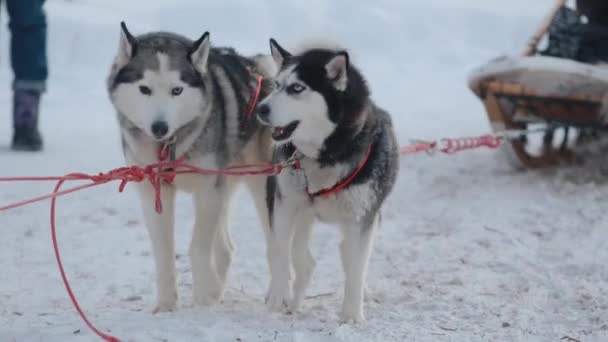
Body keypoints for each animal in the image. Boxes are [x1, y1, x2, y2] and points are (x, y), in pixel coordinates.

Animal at [105, 22, 274, 312]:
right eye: (145, 89)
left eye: (177, 90)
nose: (159, 127)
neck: (169, 147)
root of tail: (259, 66)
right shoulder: (155, 193)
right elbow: (163, 250)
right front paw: (166, 304)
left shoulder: (208, 192)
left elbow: (197, 246)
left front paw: (203, 296)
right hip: (225, 187)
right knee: (226, 249)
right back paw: (218, 290)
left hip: (259, 185)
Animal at [256, 38, 400, 322]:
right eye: (276, 85)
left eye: (296, 88)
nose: (261, 109)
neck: (323, 157)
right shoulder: (286, 206)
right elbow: (280, 255)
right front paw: (277, 299)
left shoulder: (361, 218)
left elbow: (356, 268)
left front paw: (352, 315)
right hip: (293, 207)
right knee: (297, 255)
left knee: (344, 256)